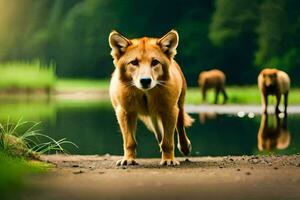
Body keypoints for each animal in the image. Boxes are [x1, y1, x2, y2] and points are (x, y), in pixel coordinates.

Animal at [109, 29, 193, 166]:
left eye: (155, 62)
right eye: (134, 62)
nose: (145, 80)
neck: (145, 94)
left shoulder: (170, 110)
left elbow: (168, 141)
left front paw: (168, 159)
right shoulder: (124, 112)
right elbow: (129, 141)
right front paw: (128, 159)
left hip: (179, 105)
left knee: (180, 127)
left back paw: (185, 147)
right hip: (153, 115)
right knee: (159, 133)